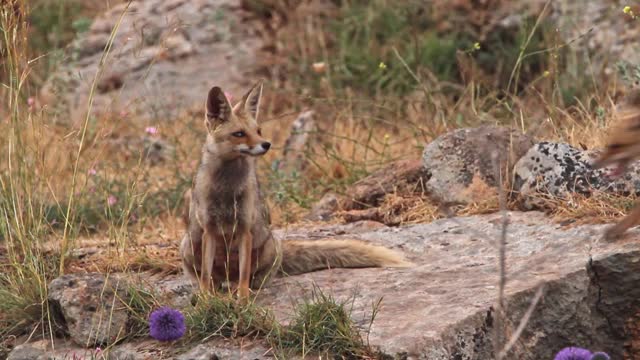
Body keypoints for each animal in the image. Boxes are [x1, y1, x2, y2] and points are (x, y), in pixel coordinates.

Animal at [179, 81, 416, 298]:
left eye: (258, 131)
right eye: (239, 134)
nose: (266, 144)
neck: (226, 189)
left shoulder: (245, 228)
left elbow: (245, 274)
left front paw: (243, 301)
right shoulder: (210, 229)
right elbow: (206, 274)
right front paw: (206, 300)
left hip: (268, 248)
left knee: (249, 278)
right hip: (189, 245)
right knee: (212, 278)